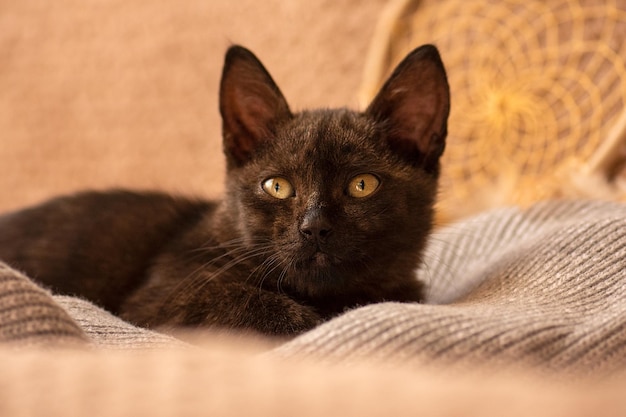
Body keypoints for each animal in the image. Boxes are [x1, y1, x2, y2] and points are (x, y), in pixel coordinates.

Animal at [0, 44, 448, 334]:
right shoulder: (159, 297)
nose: (314, 227)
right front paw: (305, 321)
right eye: (277, 186)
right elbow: (240, 299)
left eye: (362, 185)